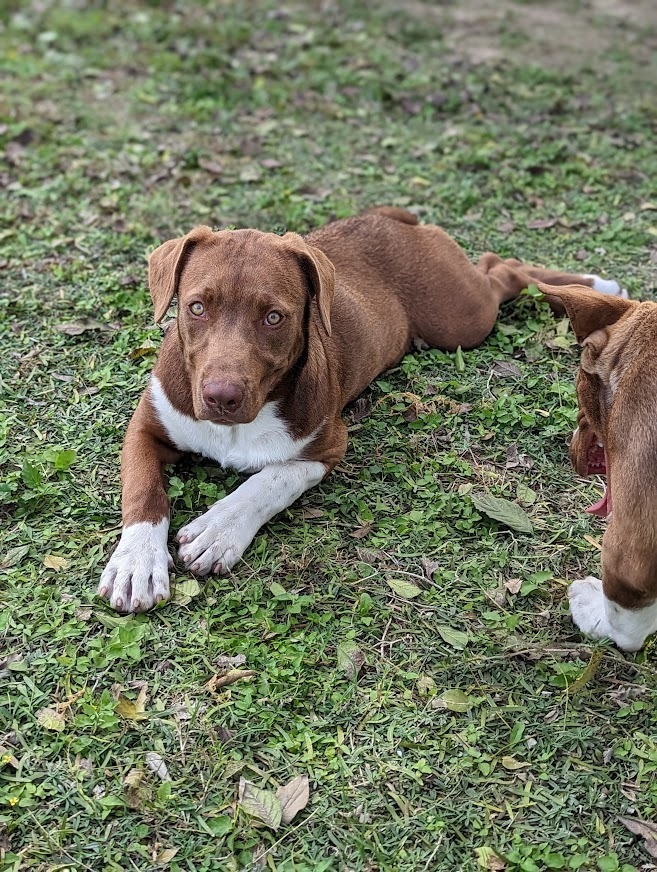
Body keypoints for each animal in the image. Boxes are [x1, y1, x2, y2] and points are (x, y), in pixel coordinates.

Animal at [100, 204, 624, 612]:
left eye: (274, 317)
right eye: (196, 308)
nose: (221, 397)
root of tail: (387, 219)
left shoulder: (327, 444)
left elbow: (270, 480)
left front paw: (220, 528)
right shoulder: (146, 425)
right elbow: (144, 492)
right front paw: (137, 563)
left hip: (462, 317)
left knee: (504, 270)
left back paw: (595, 287)